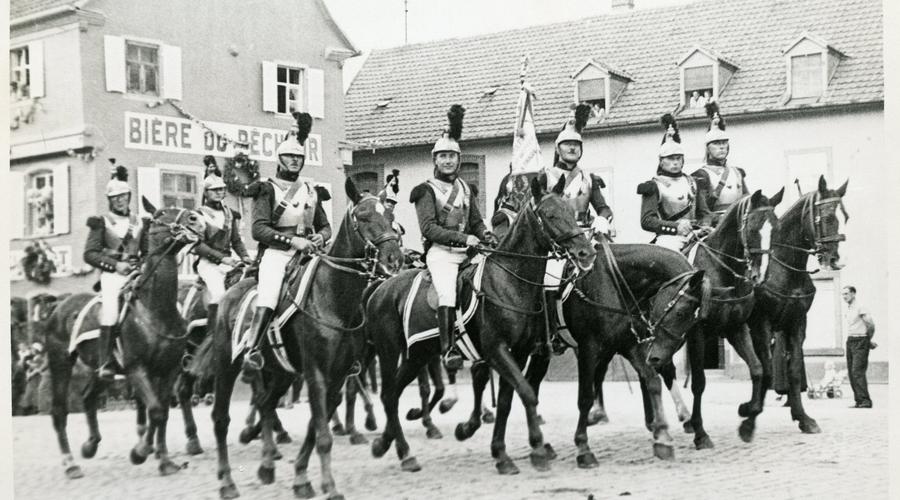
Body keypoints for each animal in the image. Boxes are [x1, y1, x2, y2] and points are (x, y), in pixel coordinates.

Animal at [43, 201, 204, 478]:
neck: (155, 309)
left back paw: (90, 445)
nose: (196, 219)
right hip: (61, 364)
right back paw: (70, 464)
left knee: (88, 397)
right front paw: (141, 453)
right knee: (59, 411)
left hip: (100, 370)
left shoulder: (168, 370)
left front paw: (164, 461)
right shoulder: (137, 369)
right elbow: (156, 411)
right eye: (161, 213)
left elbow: (161, 414)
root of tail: (59, 306)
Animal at [206, 180, 402, 500]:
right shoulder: (316, 373)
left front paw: (300, 478)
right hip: (227, 366)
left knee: (266, 403)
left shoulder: (336, 377)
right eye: (363, 217)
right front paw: (329, 486)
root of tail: (229, 294)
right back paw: (226, 482)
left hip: (281, 373)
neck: (333, 299)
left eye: (390, 217)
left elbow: (315, 428)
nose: (394, 259)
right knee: (221, 418)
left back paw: (266, 465)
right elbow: (323, 434)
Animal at [366, 174, 596, 474]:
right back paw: (404, 452)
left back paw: (386, 444)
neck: (510, 283)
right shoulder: (497, 350)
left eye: (571, 211)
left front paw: (501, 453)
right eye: (550, 214)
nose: (585, 253)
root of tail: (381, 289)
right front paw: (536, 448)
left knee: (393, 394)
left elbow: (509, 400)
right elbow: (526, 393)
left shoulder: (519, 352)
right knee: (388, 394)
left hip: (418, 354)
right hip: (390, 351)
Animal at [648, 190, 780, 450]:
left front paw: (747, 419)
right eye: (752, 228)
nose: (760, 277)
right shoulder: (697, 333)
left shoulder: (736, 328)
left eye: (776, 228)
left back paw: (682, 419)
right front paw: (702, 434)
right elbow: (699, 382)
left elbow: (758, 369)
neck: (721, 272)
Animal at [744, 178, 852, 436]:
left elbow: (792, 372)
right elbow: (766, 370)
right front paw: (751, 414)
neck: (783, 269)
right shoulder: (761, 325)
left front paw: (803, 417)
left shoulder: (797, 323)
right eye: (825, 217)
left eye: (844, 217)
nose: (835, 260)